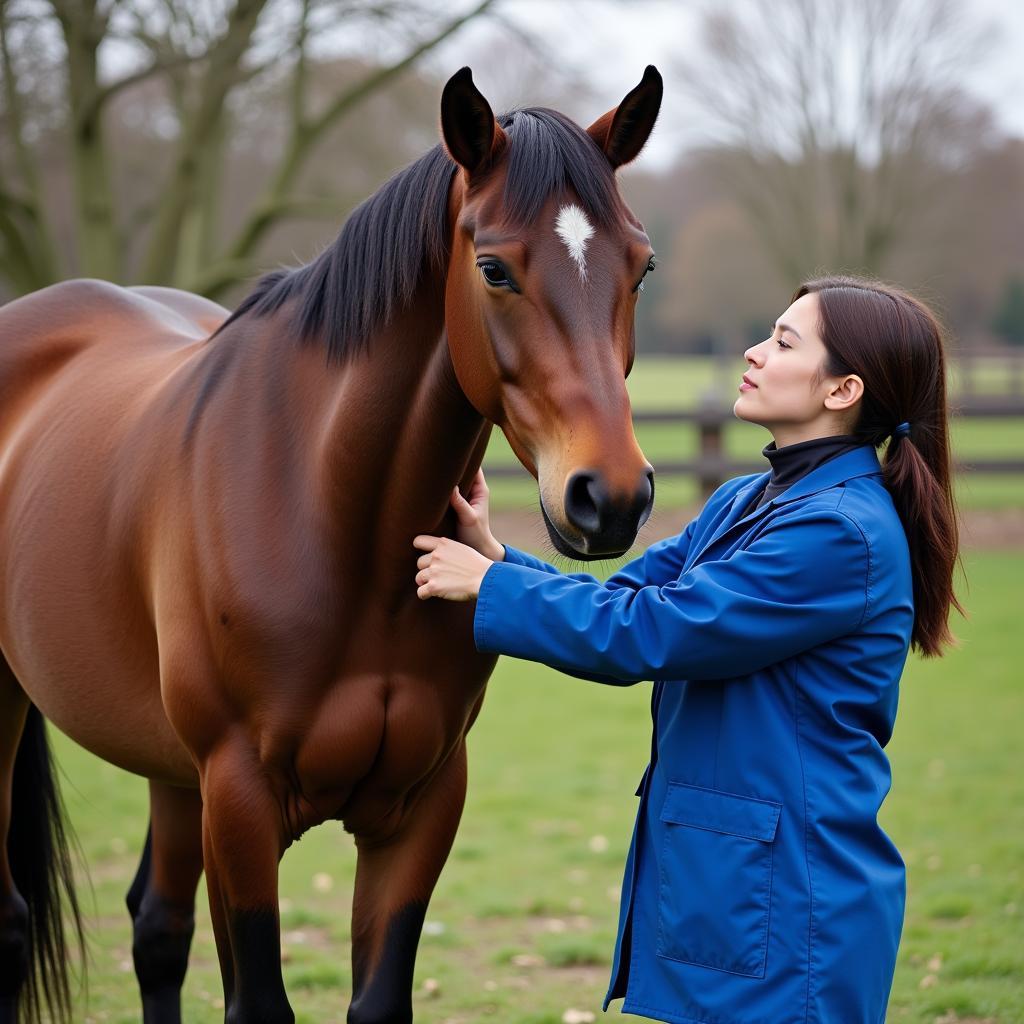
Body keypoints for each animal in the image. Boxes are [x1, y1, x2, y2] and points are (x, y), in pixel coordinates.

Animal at [0, 66, 659, 1024]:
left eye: (642, 267)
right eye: (493, 268)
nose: (609, 497)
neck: (337, 523)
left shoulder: (422, 804)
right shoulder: (239, 801)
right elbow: (258, 1002)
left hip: (172, 769)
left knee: (157, 928)